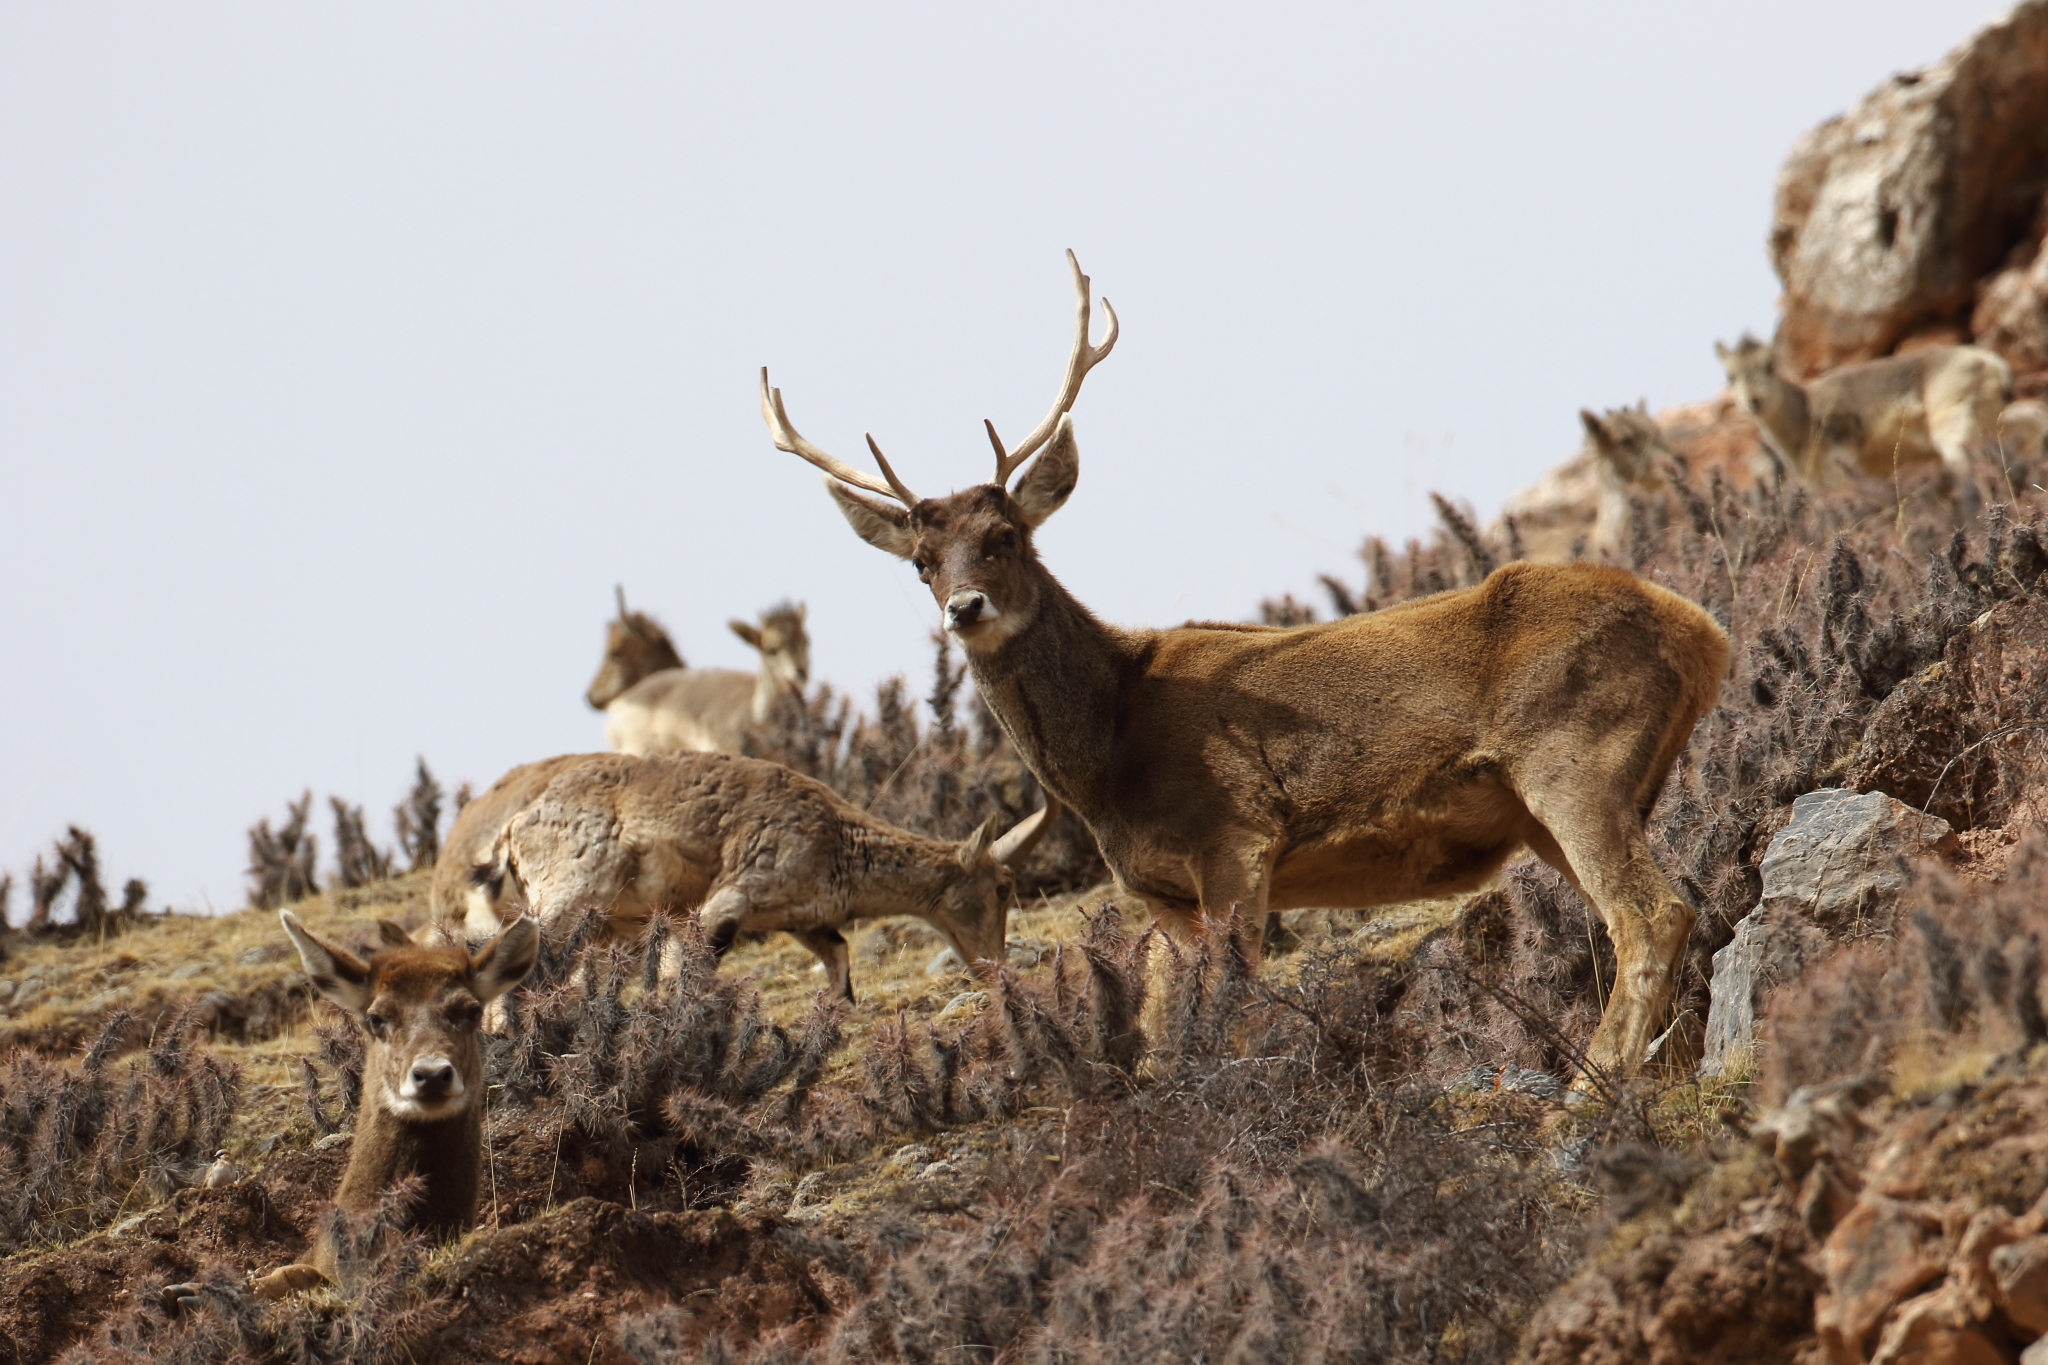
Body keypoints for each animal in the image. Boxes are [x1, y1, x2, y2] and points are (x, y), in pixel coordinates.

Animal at [458, 751, 1055, 1001]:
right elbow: (692, 970)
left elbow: (839, 962)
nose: (994, 969)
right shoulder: (732, 897)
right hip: (571, 895)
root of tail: (514, 828)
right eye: (1003, 887)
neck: (837, 841)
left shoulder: (802, 920)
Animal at [755, 251, 1731, 1080]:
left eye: (1005, 535)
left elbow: (1230, 1007)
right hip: (1561, 802)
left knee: (1653, 914)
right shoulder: (1159, 890)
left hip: (1574, 757)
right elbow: (1163, 1026)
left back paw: (1590, 1085)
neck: (1108, 756)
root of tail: (1705, 632)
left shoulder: (1237, 833)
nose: (965, 608)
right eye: (922, 560)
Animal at [1714, 335, 2018, 494]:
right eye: (1730, 375)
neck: (1803, 412)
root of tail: (1991, 362)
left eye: (1769, 366)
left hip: (1952, 434)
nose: (1754, 400)